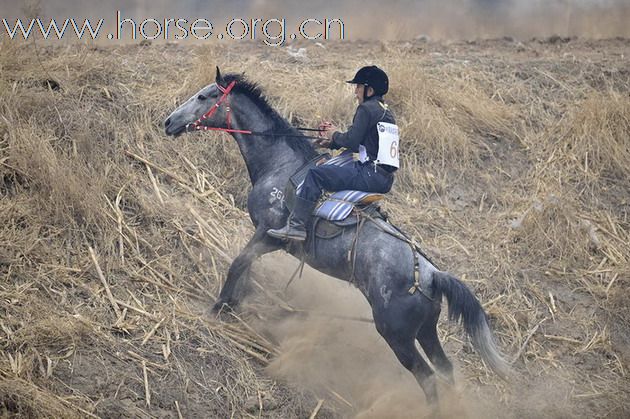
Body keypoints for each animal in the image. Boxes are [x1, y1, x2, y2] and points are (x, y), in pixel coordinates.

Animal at [163, 66, 508, 410]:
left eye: (204, 96)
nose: (168, 121)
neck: (280, 165)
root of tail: (432, 275)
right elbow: (246, 266)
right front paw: (233, 305)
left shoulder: (269, 236)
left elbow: (239, 262)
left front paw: (218, 308)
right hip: (425, 330)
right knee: (445, 369)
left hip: (397, 335)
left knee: (427, 377)